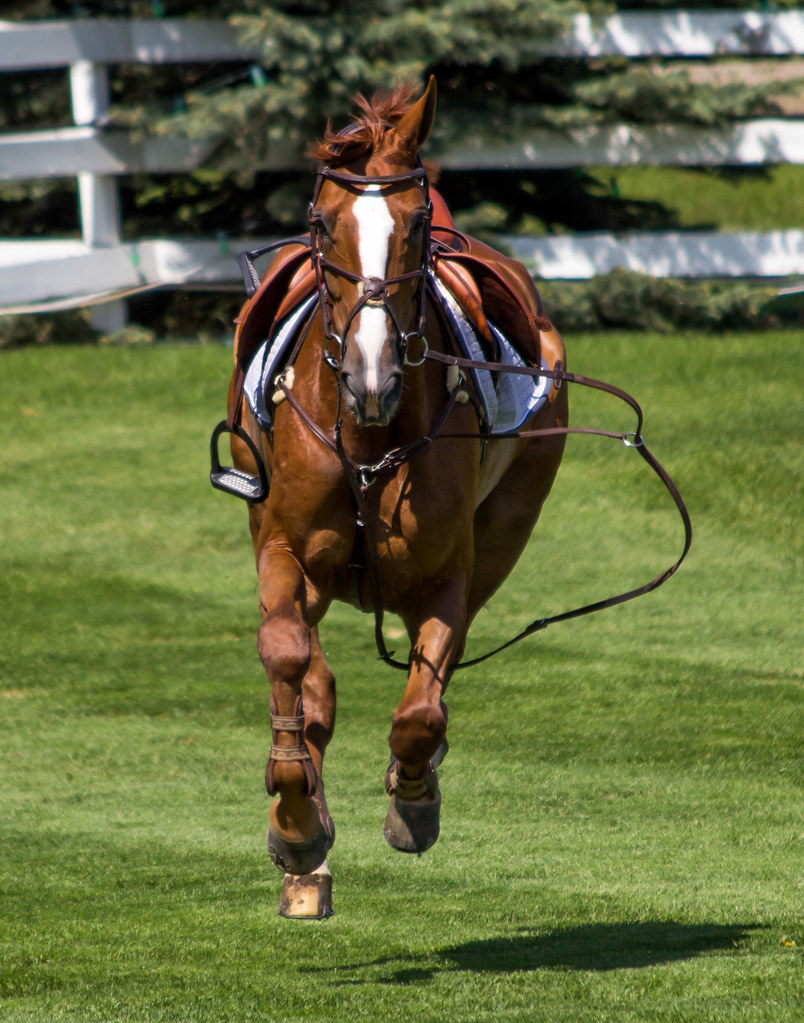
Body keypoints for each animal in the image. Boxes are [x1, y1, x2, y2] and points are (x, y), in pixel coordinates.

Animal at [215, 78, 569, 918]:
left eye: (413, 226)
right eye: (322, 223)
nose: (370, 375)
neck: (369, 433)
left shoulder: (445, 575)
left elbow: (420, 708)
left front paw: (412, 800)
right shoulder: (282, 548)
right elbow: (289, 657)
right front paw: (297, 826)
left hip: (509, 525)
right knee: (308, 675)